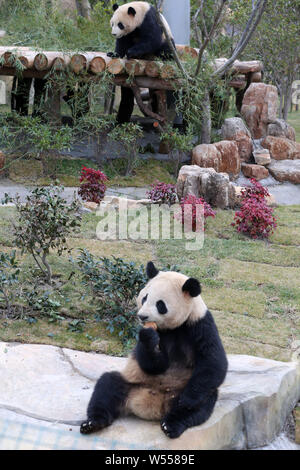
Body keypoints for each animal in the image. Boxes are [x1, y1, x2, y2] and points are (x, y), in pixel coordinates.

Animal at [79, 262, 227, 438]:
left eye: (160, 304)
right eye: (144, 298)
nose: (142, 316)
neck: (174, 327)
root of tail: (151, 407)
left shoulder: (200, 324)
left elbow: (213, 361)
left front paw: (187, 400)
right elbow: (153, 364)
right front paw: (149, 338)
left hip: (184, 390)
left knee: (201, 404)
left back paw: (171, 424)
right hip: (133, 383)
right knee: (108, 386)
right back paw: (92, 423)